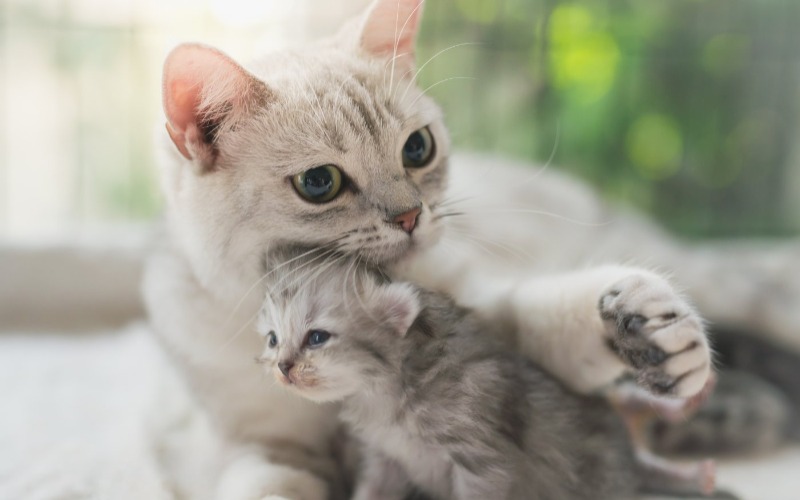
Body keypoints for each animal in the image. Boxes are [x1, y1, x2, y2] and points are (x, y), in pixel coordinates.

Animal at [260, 258, 716, 500]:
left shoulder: (483, 460)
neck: (389, 395)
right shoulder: (386, 458)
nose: (282, 367)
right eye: (272, 340)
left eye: (317, 337)